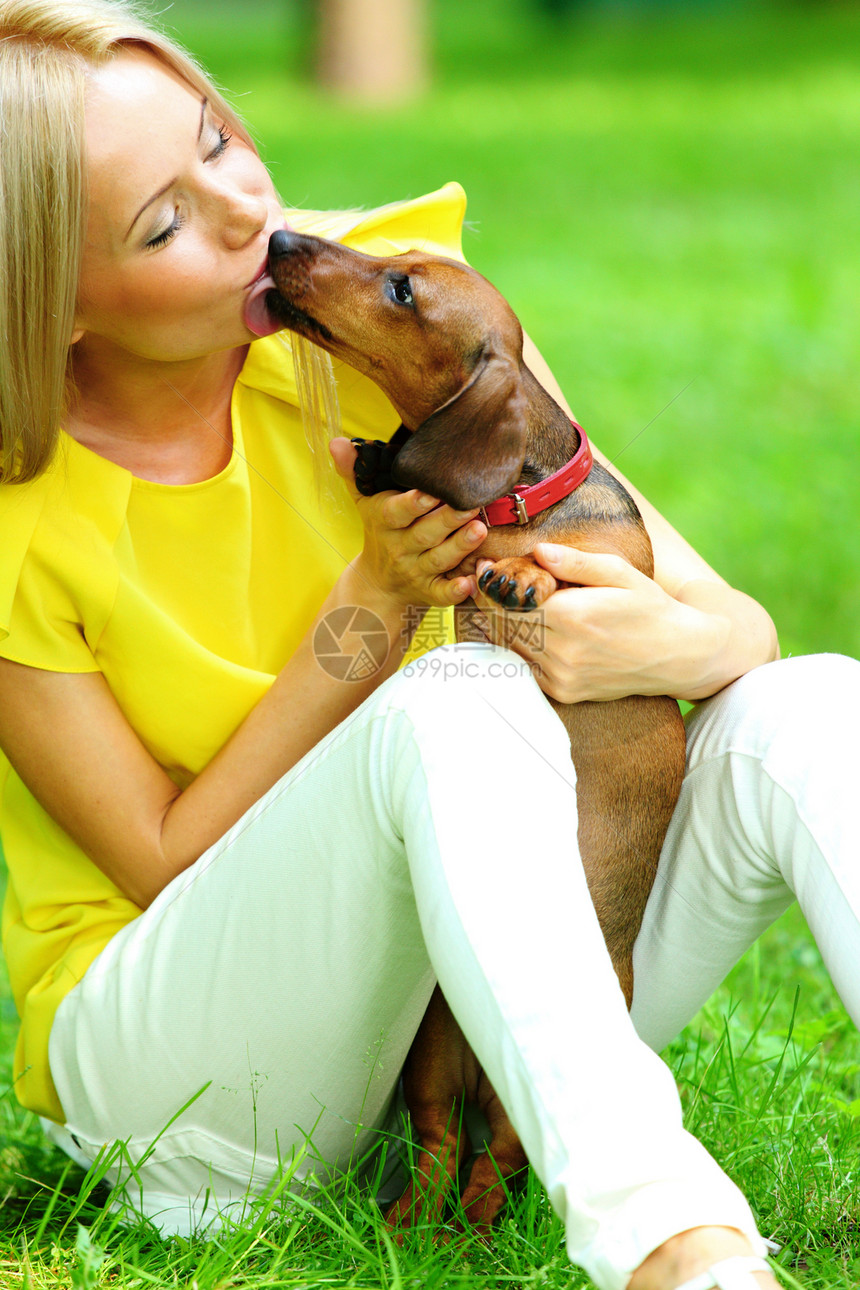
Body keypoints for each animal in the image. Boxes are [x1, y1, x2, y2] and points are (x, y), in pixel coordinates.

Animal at [269, 227, 685, 1233]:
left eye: (401, 288)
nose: (283, 236)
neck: (514, 505)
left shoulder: (621, 574)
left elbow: (568, 567)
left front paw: (528, 579)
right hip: (426, 1052)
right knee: (442, 1148)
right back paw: (410, 1230)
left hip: (506, 1082)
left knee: (494, 1160)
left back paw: (472, 1238)